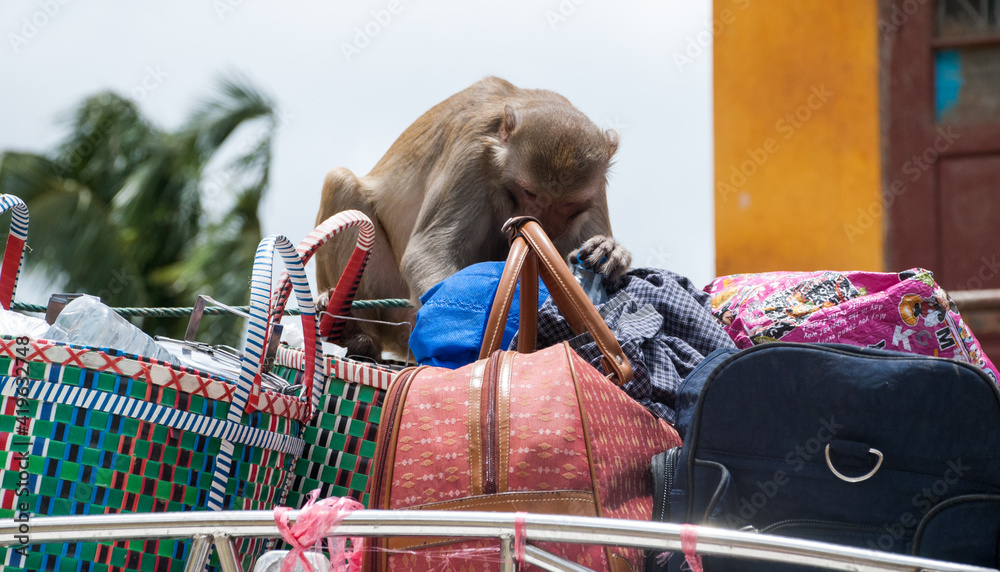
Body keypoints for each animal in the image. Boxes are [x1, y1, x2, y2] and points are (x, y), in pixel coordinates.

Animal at [316, 77, 632, 360]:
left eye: (568, 204)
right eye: (530, 192)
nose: (548, 226)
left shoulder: (596, 187)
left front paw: (610, 252)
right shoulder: (472, 154)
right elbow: (429, 250)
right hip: (394, 308)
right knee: (340, 182)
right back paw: (357, 336)